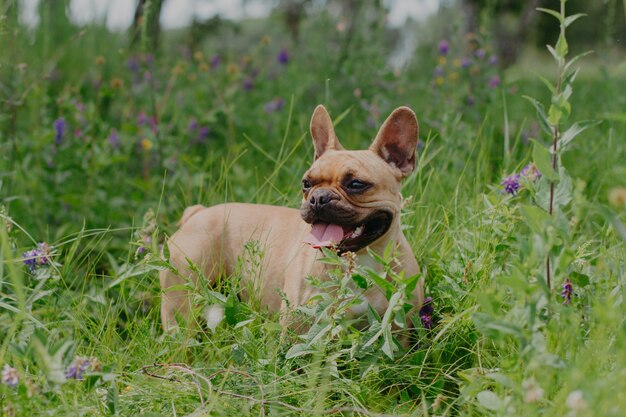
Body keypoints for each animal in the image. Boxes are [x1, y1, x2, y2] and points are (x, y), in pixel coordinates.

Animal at [161, 105, 424, 332]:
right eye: (306, 183)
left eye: (356, 184)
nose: (318, 197)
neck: (358, 260)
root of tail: (197, 213)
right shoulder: (298, 327)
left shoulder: (400, 329)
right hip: (182, 302)